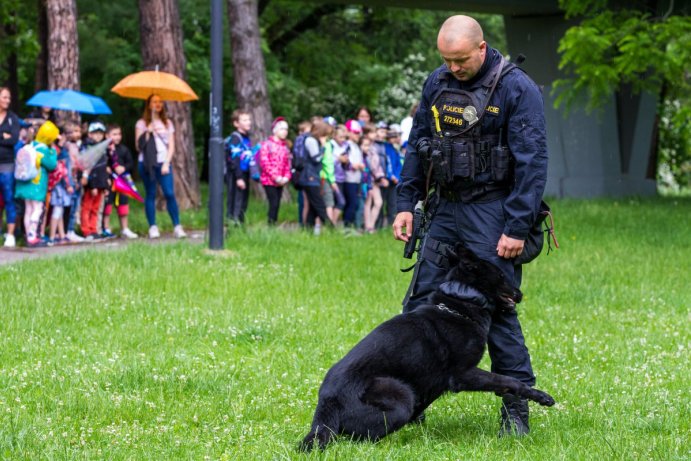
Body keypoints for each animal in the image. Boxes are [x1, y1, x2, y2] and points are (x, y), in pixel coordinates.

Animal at [300, 244, 556, 450]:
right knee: (362, 437)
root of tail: (326, 403)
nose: (520, 294)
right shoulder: (464, 374)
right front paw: (541, 396)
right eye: (501, 275)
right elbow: (510, 380)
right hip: (400, 395)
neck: (461, 300)